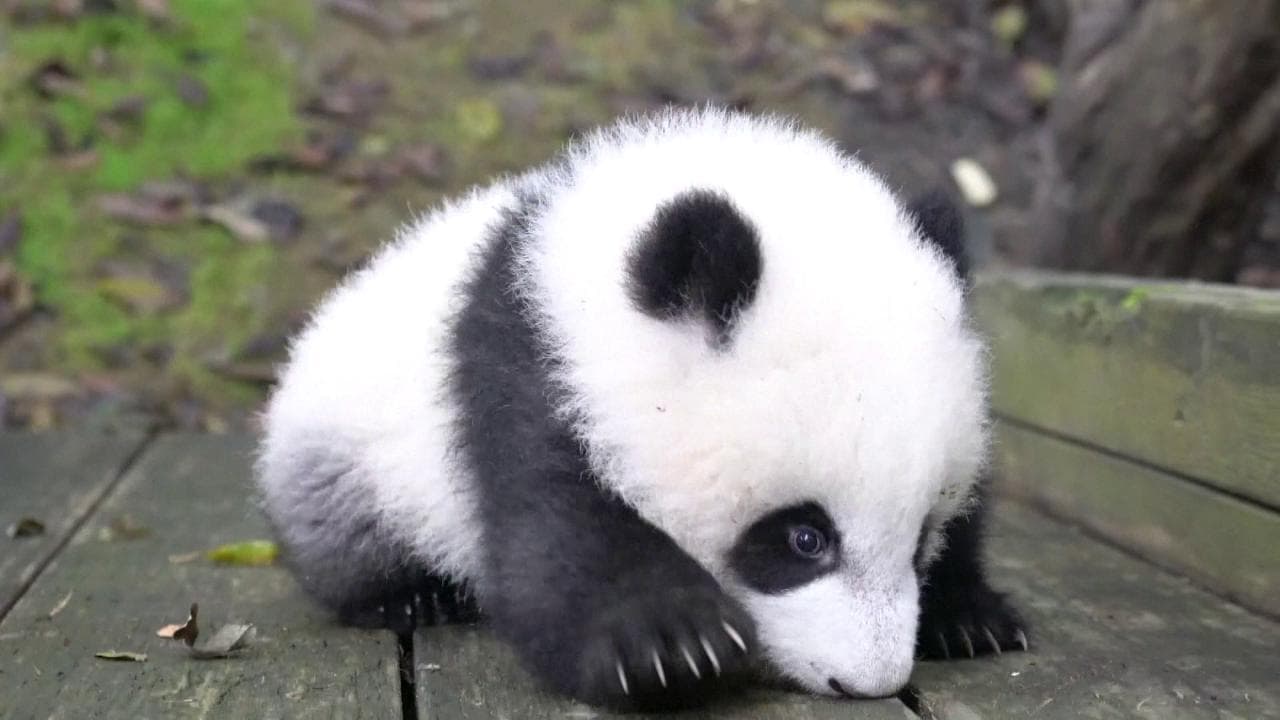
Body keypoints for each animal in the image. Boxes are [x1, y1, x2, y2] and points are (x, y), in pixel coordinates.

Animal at [256, 108, 1026, 710]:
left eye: (923, 533)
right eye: (804, 537)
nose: (868, 680)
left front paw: (970, 617)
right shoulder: (528, 369)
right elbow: (556, 533)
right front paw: (670, 643)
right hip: (342, 445)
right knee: (348, 535)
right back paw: (412, 596)